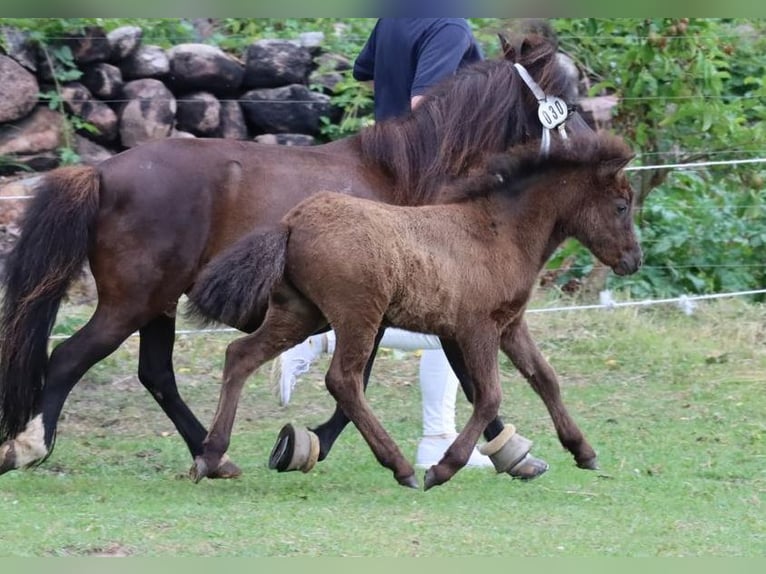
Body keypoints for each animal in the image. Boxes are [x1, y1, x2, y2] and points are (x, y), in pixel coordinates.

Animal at [0, 33, 591, 478]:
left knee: (157, 375)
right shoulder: (414, 305)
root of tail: (102, 172)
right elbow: (406, 379)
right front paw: (311, 445)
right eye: (572, 97)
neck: (411, 179)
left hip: (159, 304)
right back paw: (29, 446)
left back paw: (213, 455)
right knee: (68, 358)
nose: (594, 148)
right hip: (132, 302)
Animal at [186, 131, 641, 490]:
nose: (633, 260)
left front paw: (583, 450)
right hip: (359, 316)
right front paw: (443, 468)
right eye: (621, 205)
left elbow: (545, 379)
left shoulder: (510, 325)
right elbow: (489, 396)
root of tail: (292, 222)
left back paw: (209, 455)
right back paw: (401, 466)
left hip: (300, 313)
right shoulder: (476, 328)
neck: (499, 232)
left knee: (240, 356)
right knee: (343, 380)